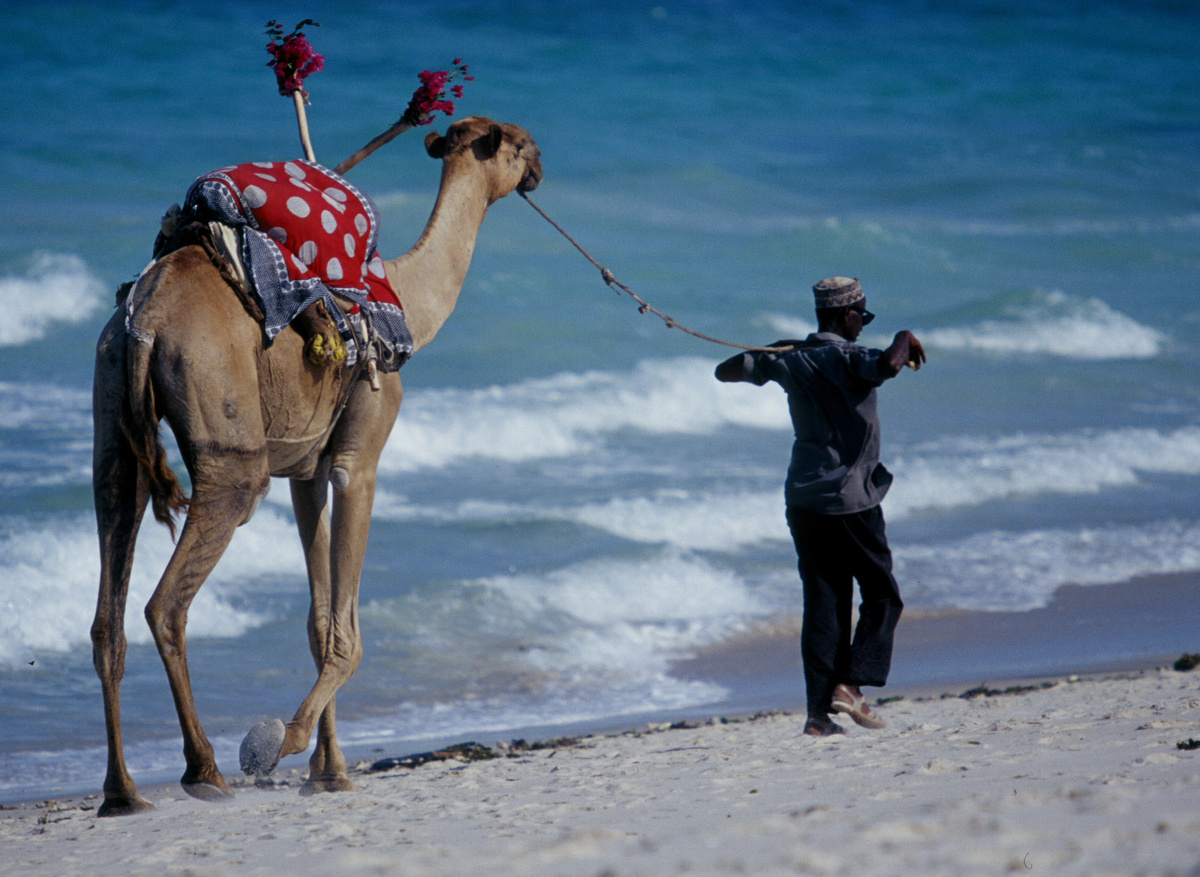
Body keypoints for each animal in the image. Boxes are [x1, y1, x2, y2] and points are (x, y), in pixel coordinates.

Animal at [90, 116, 542, 817]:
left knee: (108, 597)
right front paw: (285, 744)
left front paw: (328, 771)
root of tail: (146, 320)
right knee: (168, 601)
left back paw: (124, 792)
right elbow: (345, 629)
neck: (407, 300)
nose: (541, 164)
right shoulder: (358, 458)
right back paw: (205, 770)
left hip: (113, 418)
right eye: (516, 143)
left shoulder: (305, 471)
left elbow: (319, 620)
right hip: (227, 440)